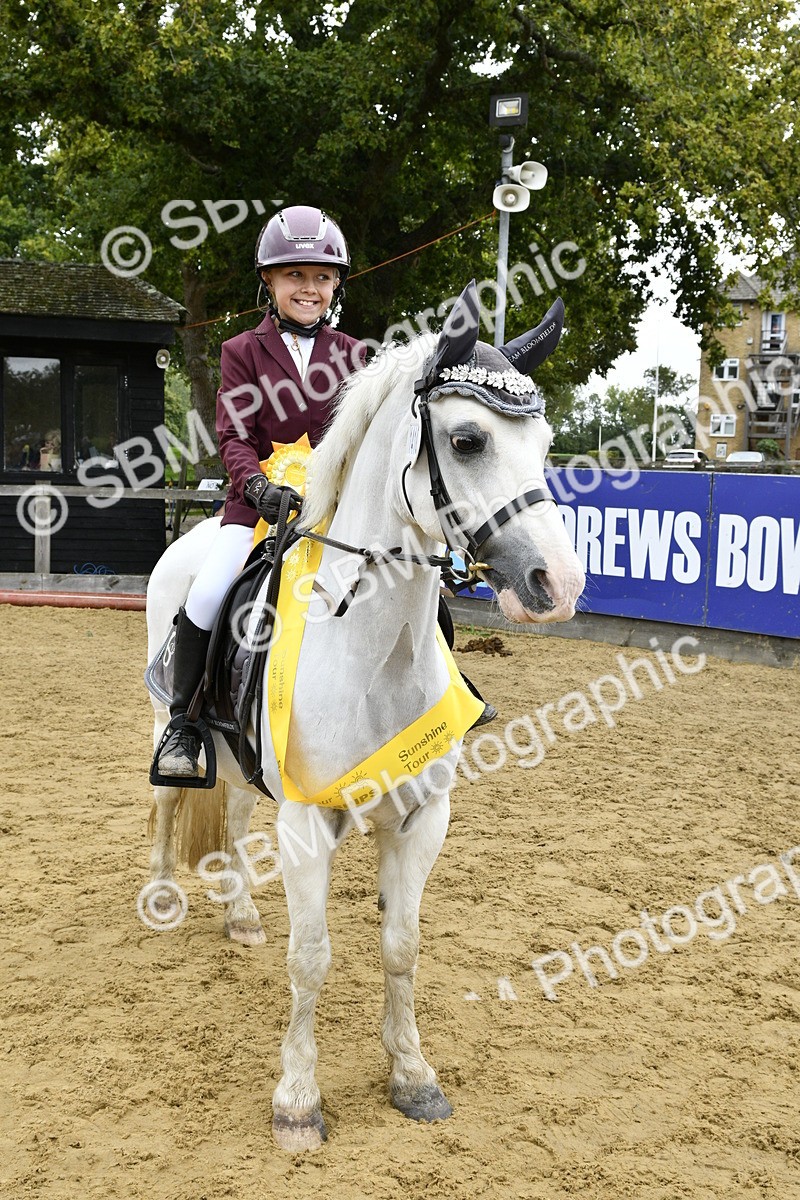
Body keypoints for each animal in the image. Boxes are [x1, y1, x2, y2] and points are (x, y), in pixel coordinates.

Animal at [144, 282, 585, 1151]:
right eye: (468, 439)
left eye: (547, 440)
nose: (558, 583)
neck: (373, 653)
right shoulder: (308, 821)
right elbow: (310, 957)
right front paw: (296, 1100)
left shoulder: (421, 817)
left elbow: (401, 946)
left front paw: (413, 1076)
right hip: (167, 721)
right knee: (168, 799)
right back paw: (163, 897)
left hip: (244, 762)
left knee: (234, 818)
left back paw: (240, 917)